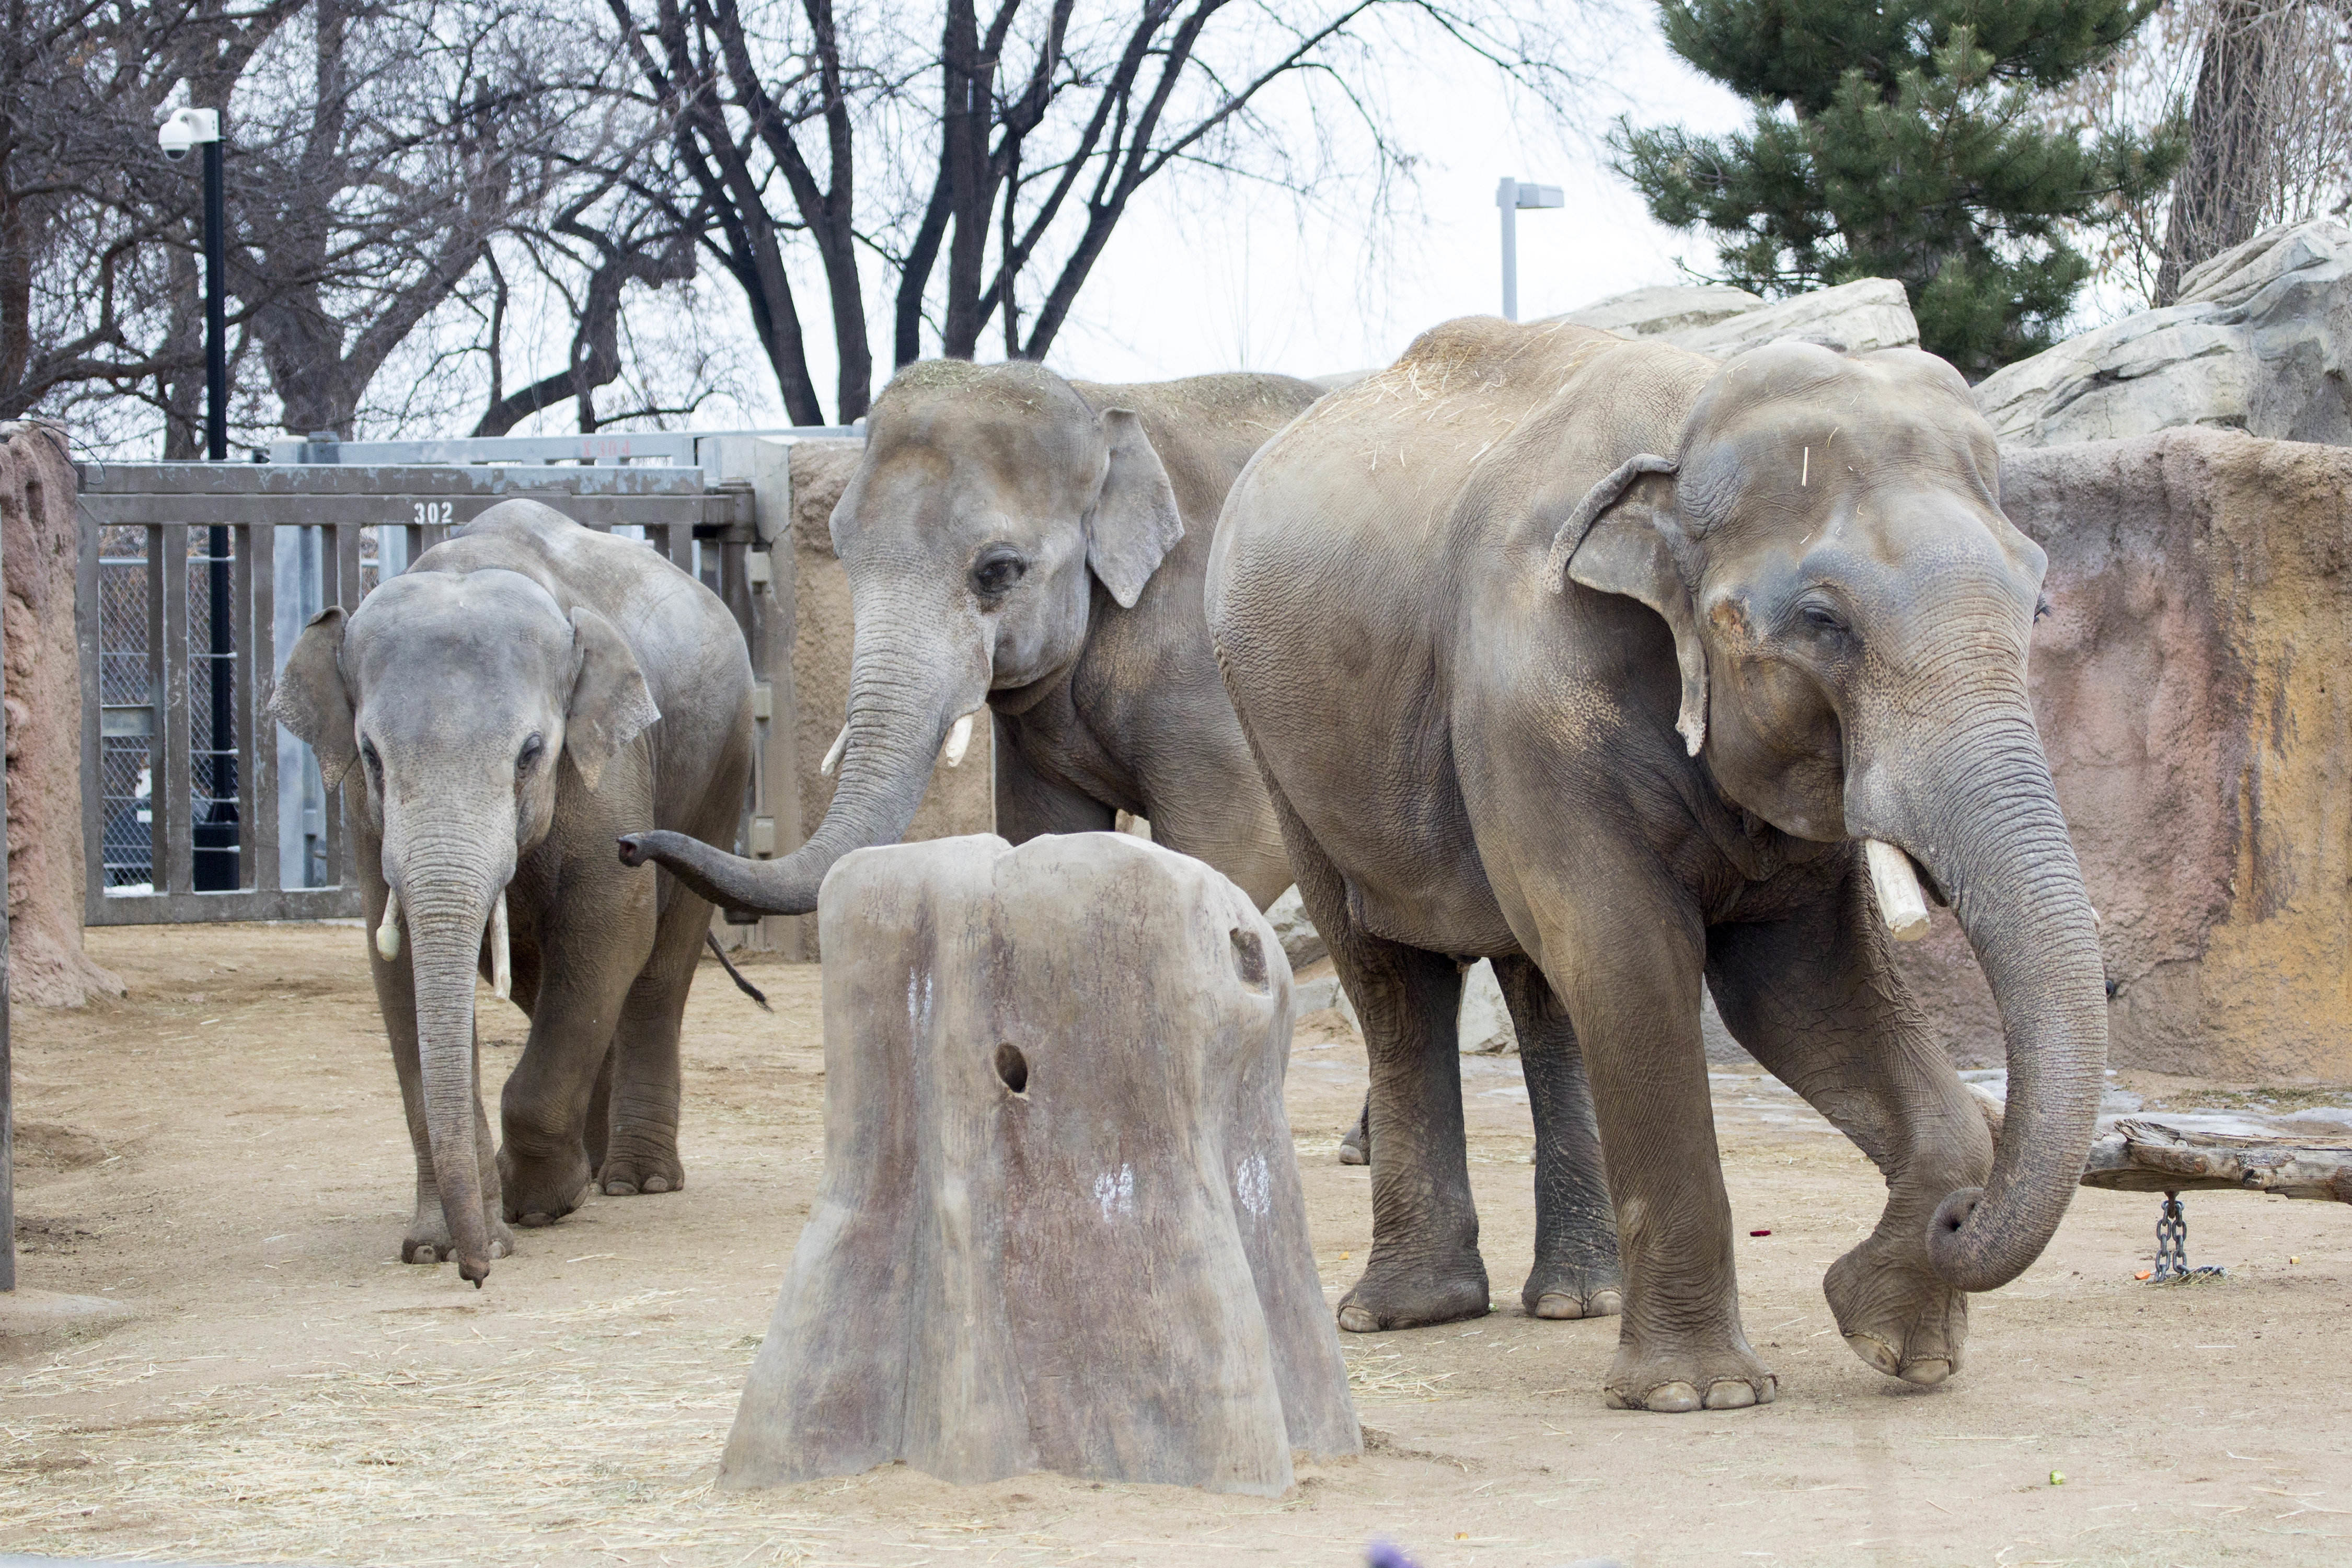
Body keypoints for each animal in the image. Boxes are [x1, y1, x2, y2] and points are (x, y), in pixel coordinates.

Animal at [274, 503, 753, 1288]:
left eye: (531, 753)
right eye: (371, 757)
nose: (476, 1276)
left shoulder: (610, 769)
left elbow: (611, 926)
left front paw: (534, 1205)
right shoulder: (364, 821)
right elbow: (398, 967)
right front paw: (439, 1243)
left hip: (721, 767)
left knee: (657, 968)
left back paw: (636, 1181)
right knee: (545, 982)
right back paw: (593, 1170)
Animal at [616, 355, 1327, 921]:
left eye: (998, 571)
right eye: (842, 553)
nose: (628, 845)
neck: (1100, 404)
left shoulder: (1206, 664)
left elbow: (1239, 851)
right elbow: (1049, 836)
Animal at [1204, 315, 2107, 1410]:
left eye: (2036, 606)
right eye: (1825, 623)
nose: (1962, 1218)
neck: (1696, 416)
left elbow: (1798, 990)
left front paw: (1899, 1348)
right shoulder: (1530, 687)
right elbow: (1633, 959)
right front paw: (1699, 1394)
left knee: (1540, 980)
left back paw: (1576, 1300)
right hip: (1271, 736)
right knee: (1390, 973)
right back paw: (1409, 1312)